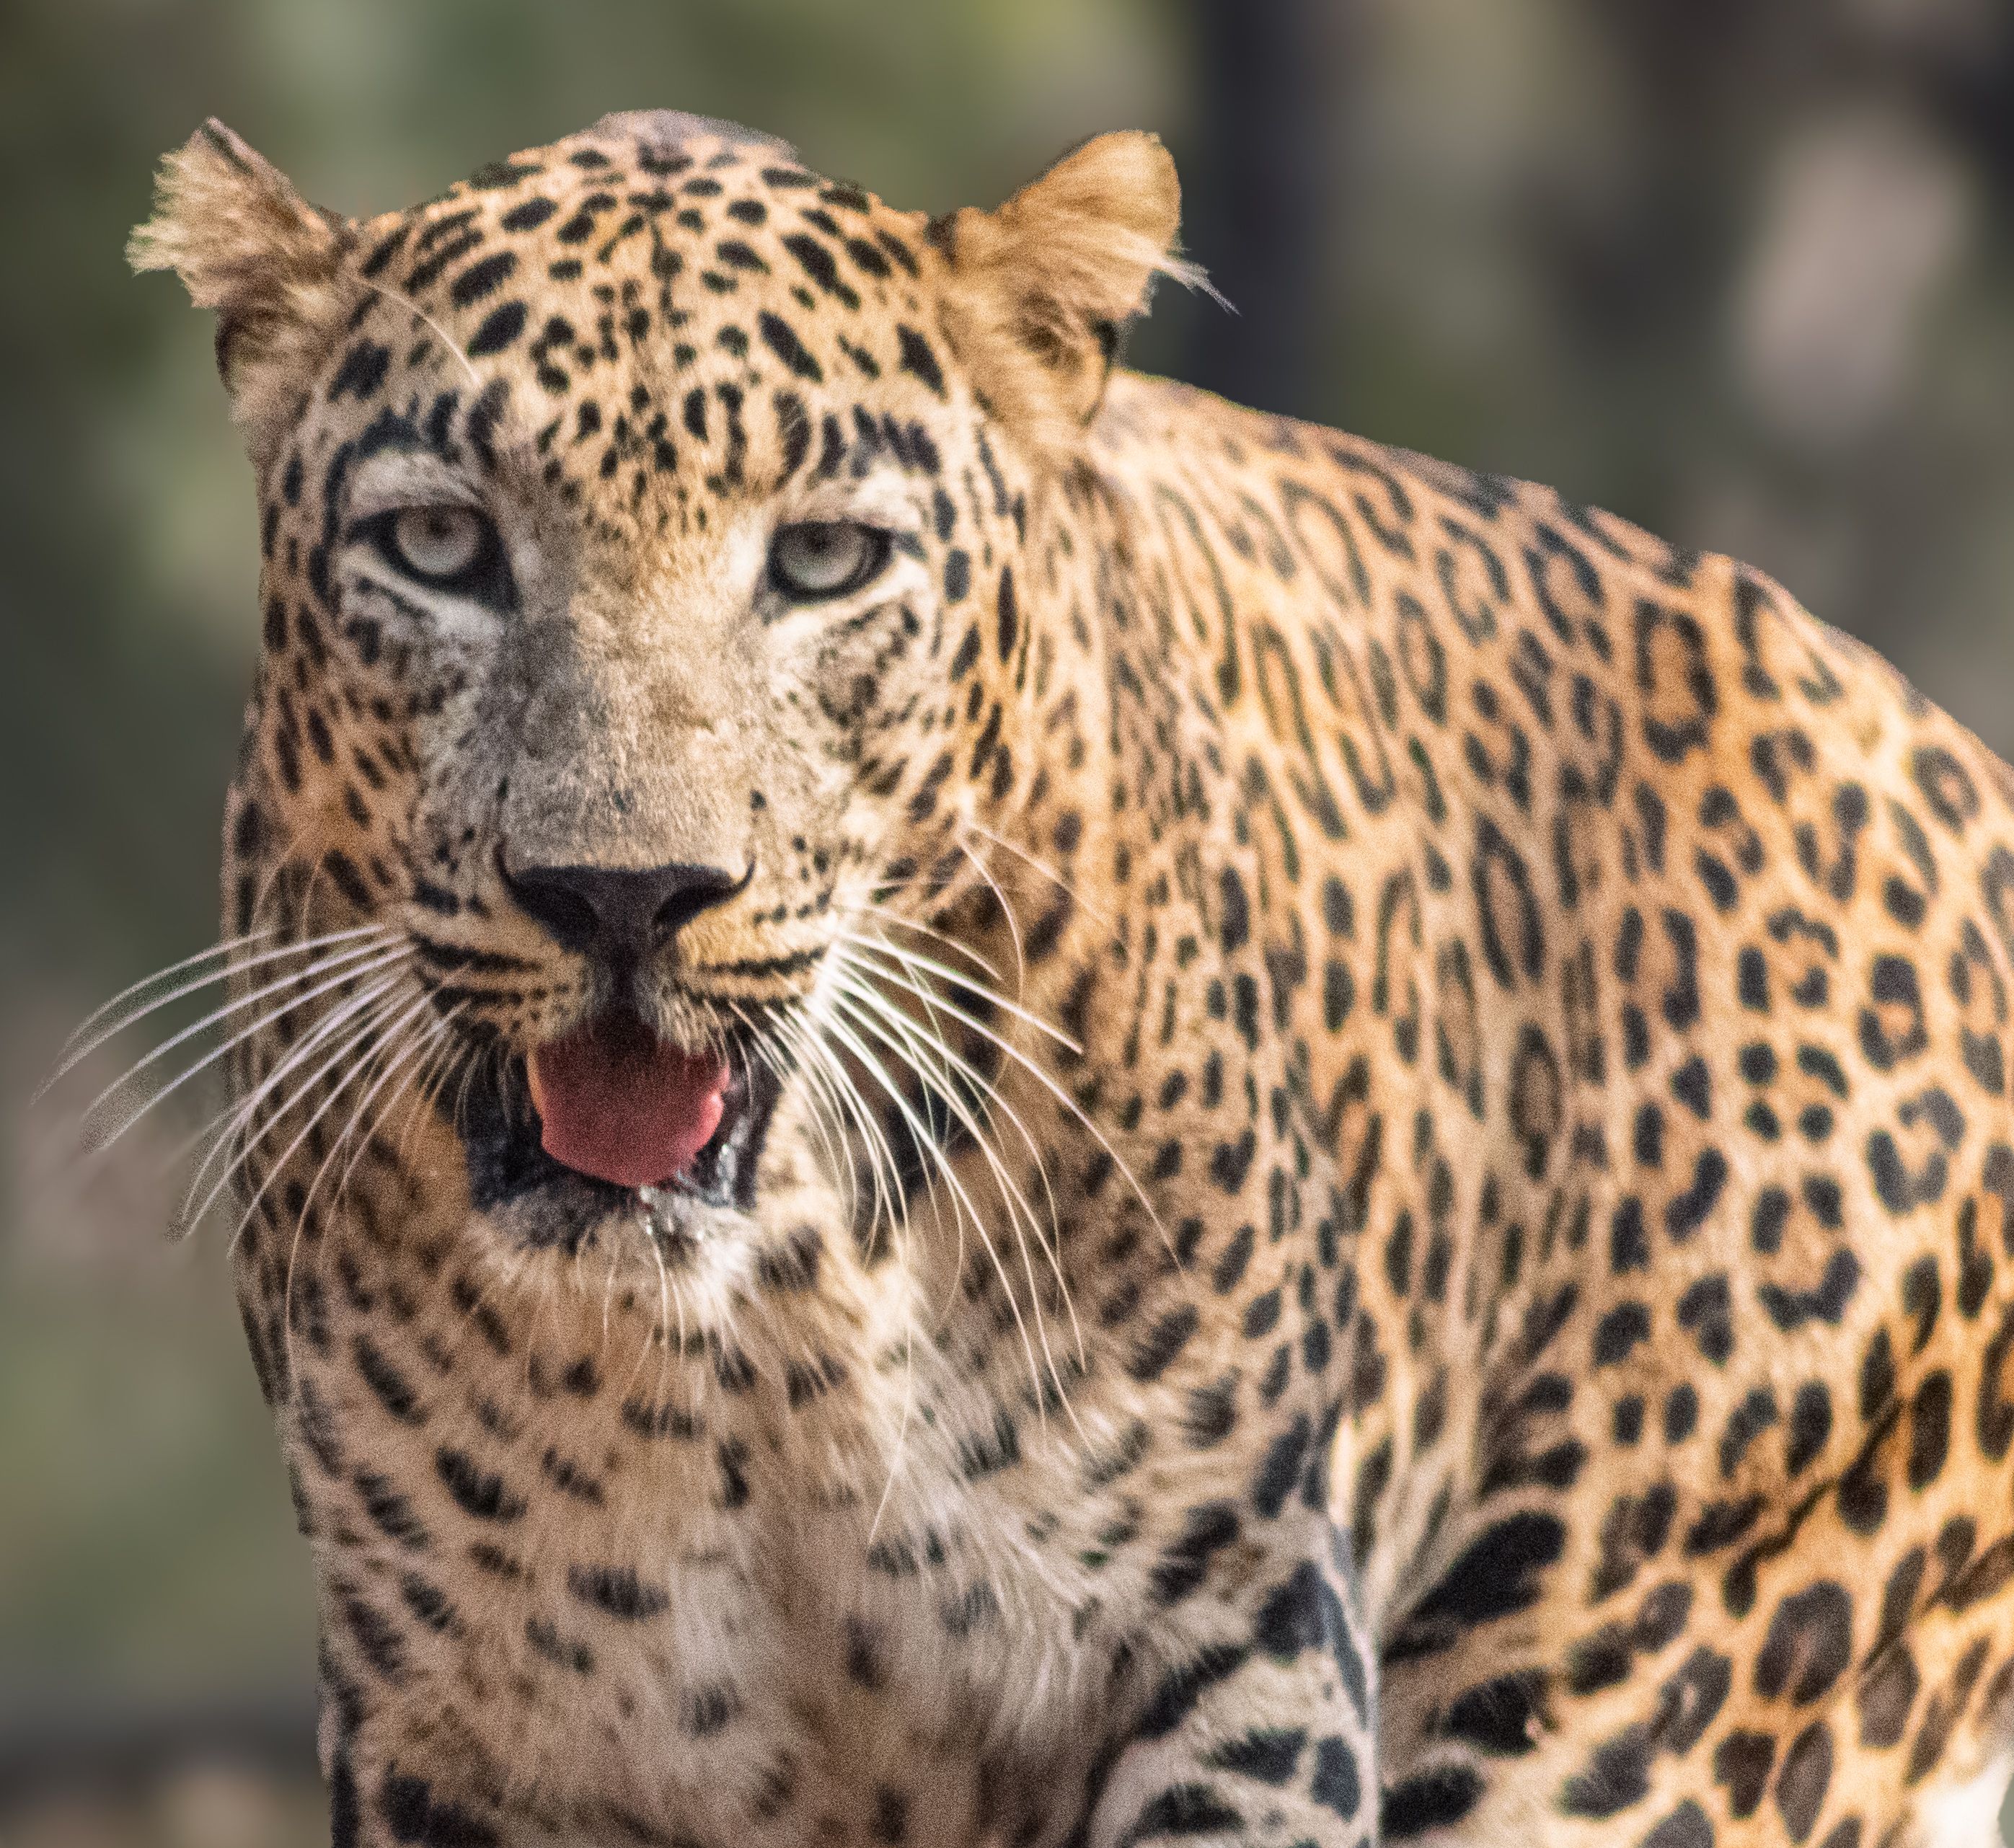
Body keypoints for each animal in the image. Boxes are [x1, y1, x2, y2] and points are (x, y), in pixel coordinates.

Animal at [111, 105, 2014, 1848]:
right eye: (440, 547)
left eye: (822, 560)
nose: (625, 896)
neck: (756, 1338)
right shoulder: (467, 1729)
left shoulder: (1235, 1629)